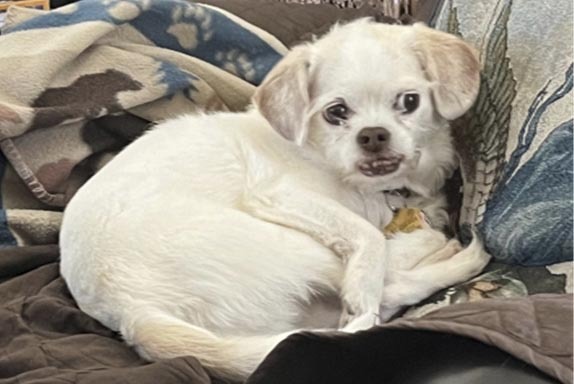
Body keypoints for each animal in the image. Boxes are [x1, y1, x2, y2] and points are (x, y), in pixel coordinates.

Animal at [58, 19, 490, 380]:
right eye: (336, 112)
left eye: (409, 102)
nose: (373, 135)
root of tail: (132, 311)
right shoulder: (282, 196)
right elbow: (367, 236)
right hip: (295, 247)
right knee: (391, 284)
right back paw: (449, 253)